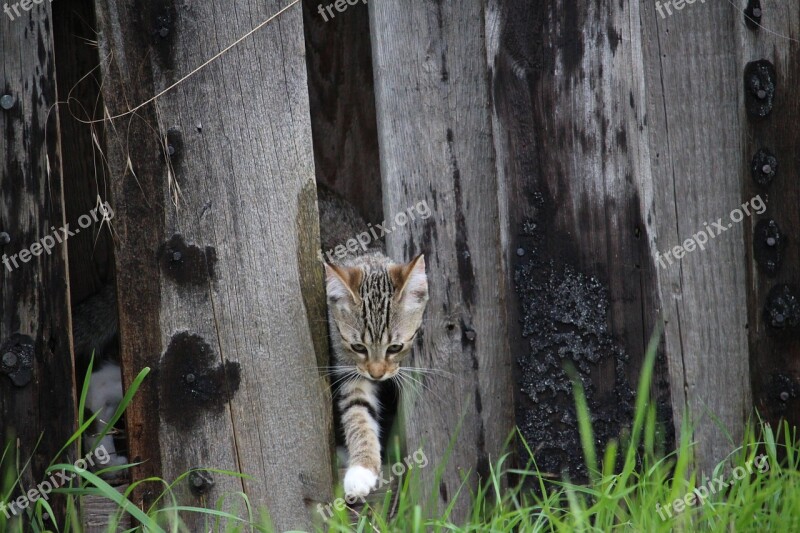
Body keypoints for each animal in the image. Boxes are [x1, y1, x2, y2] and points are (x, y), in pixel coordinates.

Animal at [318, 185, 432, 496]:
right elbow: (358, 410)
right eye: (358, 347)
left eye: (395, 347)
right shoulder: (348, 368)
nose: (377, 374)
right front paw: (362, 469)